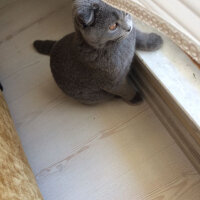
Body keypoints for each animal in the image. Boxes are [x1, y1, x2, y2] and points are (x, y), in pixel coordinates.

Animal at [33, 0, 163, 104]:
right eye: (113, 26)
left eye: (125, 12)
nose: (128, 28)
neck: (117, 44)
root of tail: (55, 46)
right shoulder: (113, 83)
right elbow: (125, 90)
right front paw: (135, 97)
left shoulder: (132, 34)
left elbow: (140, 37)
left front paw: (155, 41)